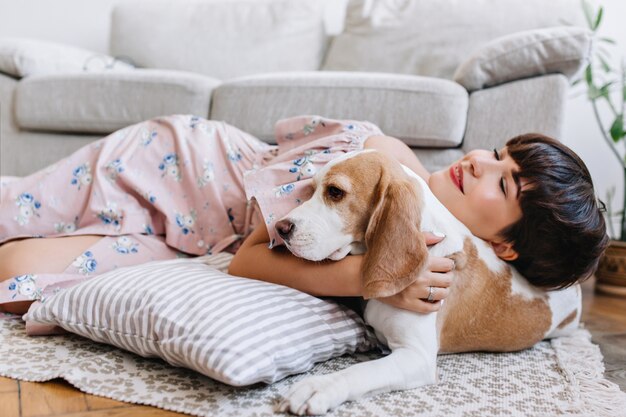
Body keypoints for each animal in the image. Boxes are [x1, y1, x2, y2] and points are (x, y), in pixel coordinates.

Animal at [276, 150, 576, 412]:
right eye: (312, 189)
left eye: (335, 192)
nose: (281, 227)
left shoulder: (415, 357)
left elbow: (359, 371)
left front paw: (319, 387)